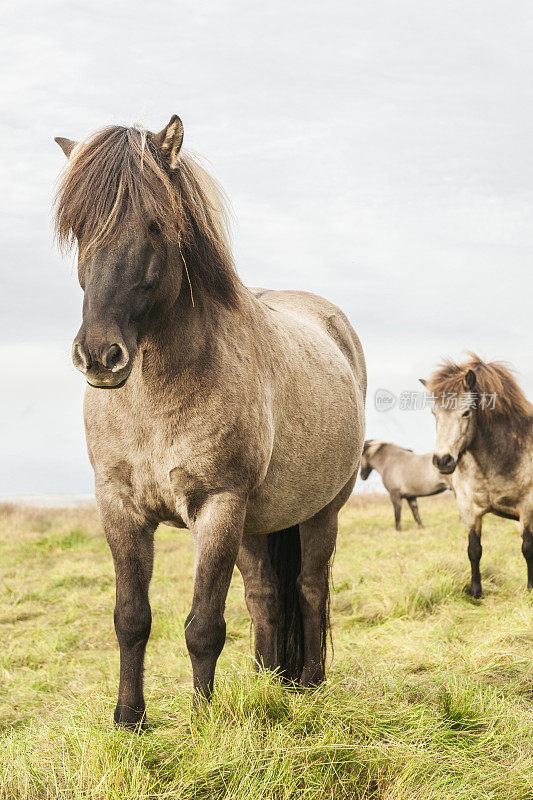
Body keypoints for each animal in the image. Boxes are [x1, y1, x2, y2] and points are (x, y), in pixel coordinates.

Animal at [53, 115, 366, 728]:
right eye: (78, 228)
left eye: (155, 224)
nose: (100, 356)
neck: (153, 399)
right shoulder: (119, 507)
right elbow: (132, 619)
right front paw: (129, 720)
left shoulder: (218, 506)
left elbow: (203, 627)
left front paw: (203, 721)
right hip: (257, 523)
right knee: (266, 595)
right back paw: (269, 682)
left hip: (319, 511)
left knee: (310, 587)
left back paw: (310, 684)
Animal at [420, 354, 532, 596]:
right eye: (435, 413)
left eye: (466, 412)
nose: (443, 460)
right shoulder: (469, 508)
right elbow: (474, 549)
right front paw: (475, 592)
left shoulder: (527, 507)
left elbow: (528, 547)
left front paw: (530, 588)